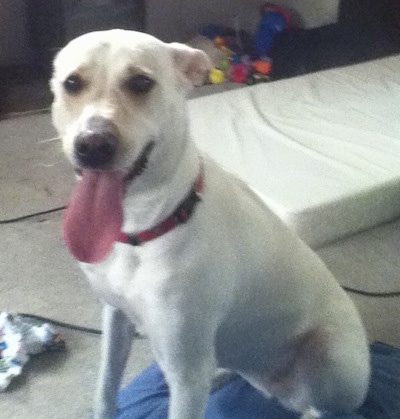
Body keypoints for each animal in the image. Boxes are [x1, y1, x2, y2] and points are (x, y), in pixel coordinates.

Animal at [51, 30, 370, 419]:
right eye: (72, 83)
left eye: (141, 82)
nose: (93, 145)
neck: (146, 227)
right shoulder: (115, 318)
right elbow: (105, 389)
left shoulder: (186, 373)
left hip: (330, 355)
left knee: (317, 406)